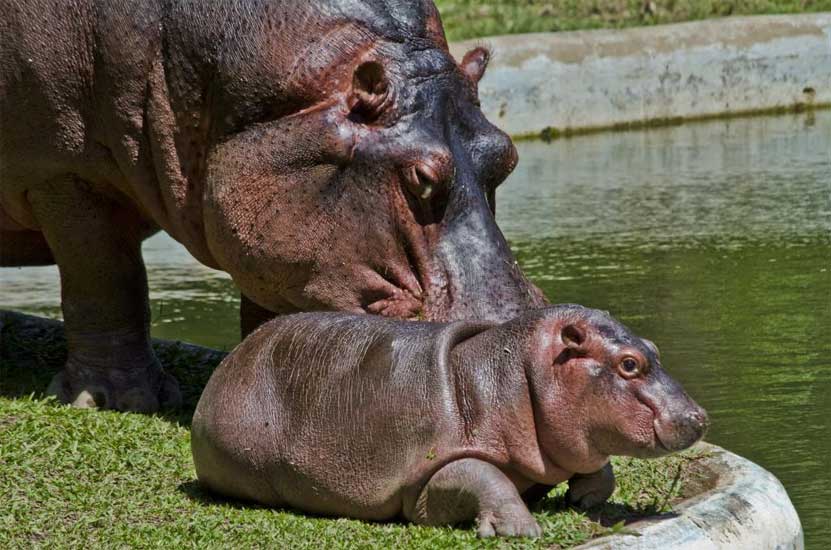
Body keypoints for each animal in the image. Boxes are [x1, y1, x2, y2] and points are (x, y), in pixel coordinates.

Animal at [0, 1, 544, 414]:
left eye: (507, 155)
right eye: (421, 178)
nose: (515, 337)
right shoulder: (64, 173)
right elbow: (106, 279)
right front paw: (118, 400)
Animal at [193, 306, 708, 540]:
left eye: (651, 348)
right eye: (629, 365)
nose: (699, 416)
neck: (507, 374)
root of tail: (231, 361)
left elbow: (596, 463)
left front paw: (582, 496)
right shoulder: (427, 479)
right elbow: (485, 476)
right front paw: (521, 531)